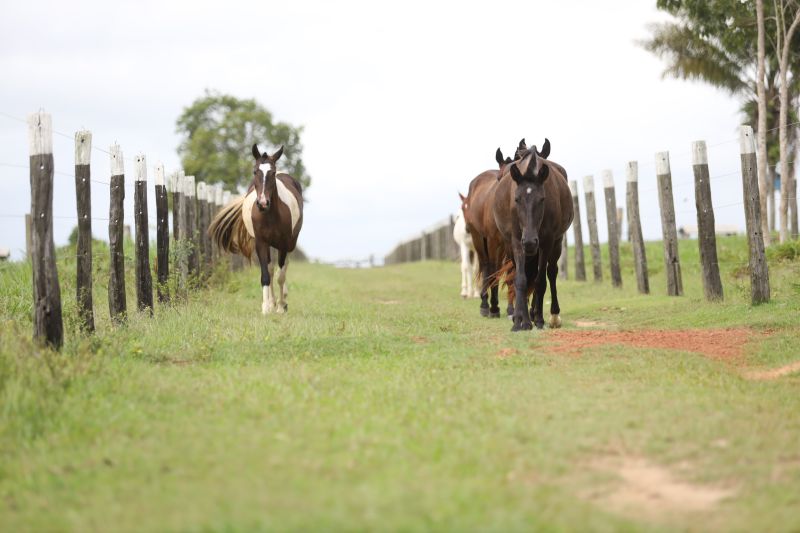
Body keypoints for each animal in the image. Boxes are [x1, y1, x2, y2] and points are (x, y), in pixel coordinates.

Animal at [209, 143, 304, 314]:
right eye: (255, 171)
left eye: (272, 172)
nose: (263, 203)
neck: (270, 215)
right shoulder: (260, 243)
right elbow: (266, 275)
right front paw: (266, 307)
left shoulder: (283, 245)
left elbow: (281, 276)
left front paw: (281, 306)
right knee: (271, 269)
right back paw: (272, 302)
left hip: (289, 244)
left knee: (283, 267)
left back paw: (282, 302)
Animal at [494, 143, 576, 330]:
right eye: (516, 199)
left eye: (542, 199)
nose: (530, 242)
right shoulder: (517, 242)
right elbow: (520, 279)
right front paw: (520, 320)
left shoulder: (546, 242)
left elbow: (540, 281)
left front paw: (537, 318)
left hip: (556, 244)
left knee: (551, 273)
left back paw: (552, 315)